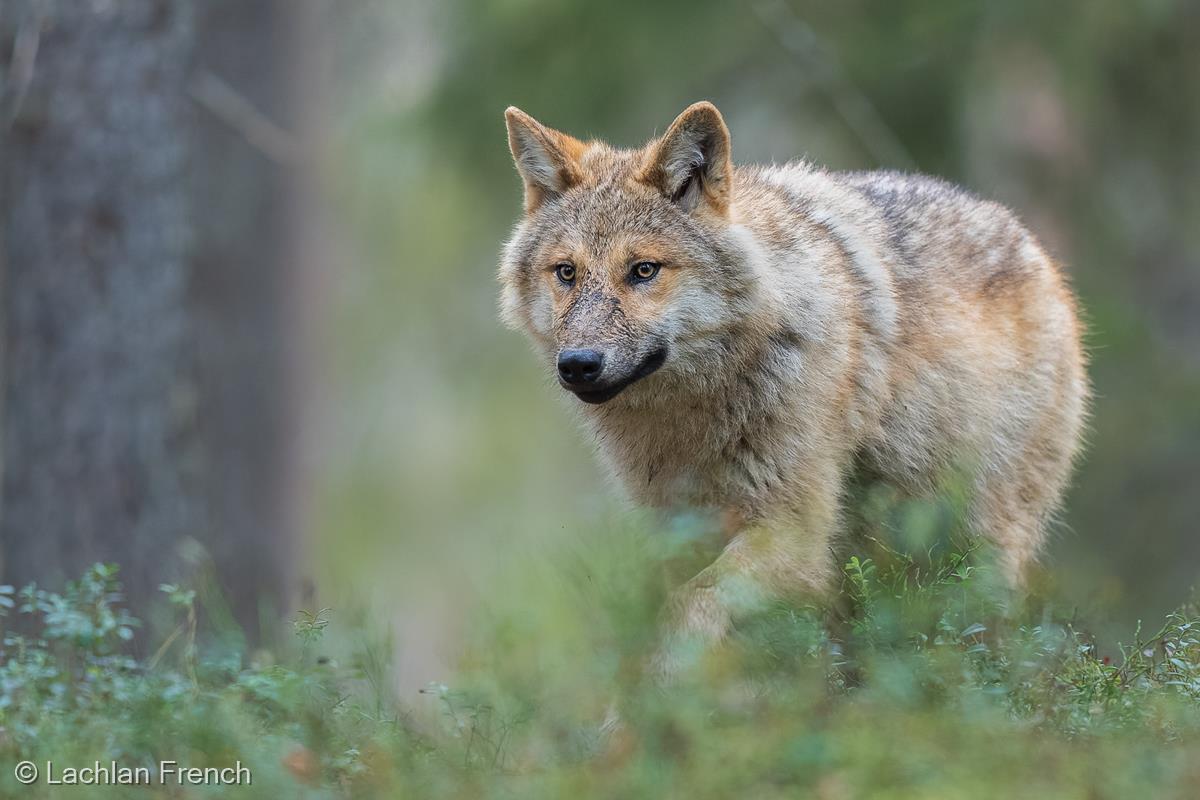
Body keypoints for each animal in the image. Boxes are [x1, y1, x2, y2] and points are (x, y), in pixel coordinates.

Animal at [499, 101, 1087, 675]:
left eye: (643, 270)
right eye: (567, 272)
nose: (578, 365)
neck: (693, 414)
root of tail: (1031, 244)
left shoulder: (794, 531)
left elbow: (689, 605)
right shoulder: (679, 531)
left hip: (979, 541)